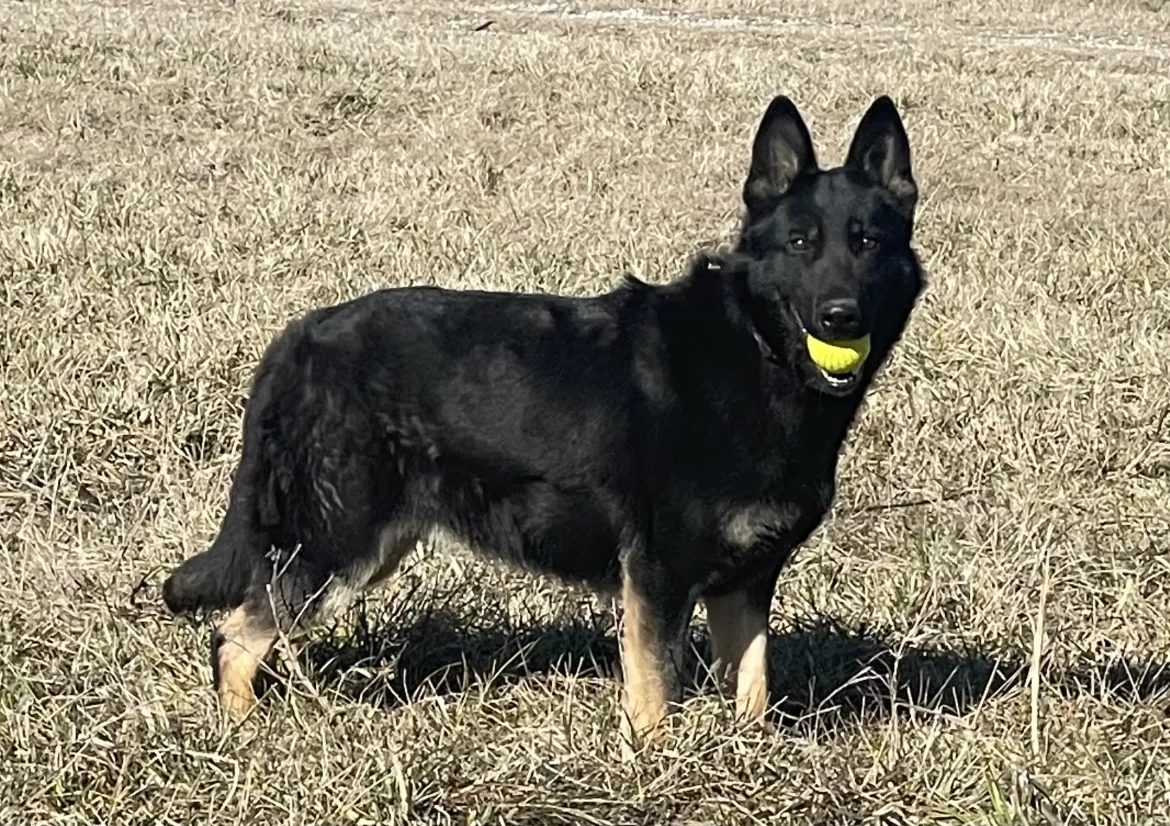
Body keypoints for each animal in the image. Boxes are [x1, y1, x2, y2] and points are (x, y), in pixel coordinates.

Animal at [162, 93, 921, 744]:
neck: (756, 348)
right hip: (337, 543)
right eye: (800, 244)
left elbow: (754, 685)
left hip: (367, 548)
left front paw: (746, 757)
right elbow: (655, 692)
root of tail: (298, 337)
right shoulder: (657, 577)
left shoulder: (746, 584)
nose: (841, 317)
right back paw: (243, 733)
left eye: (868, 243)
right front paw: (656, 768)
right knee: (234, 637)